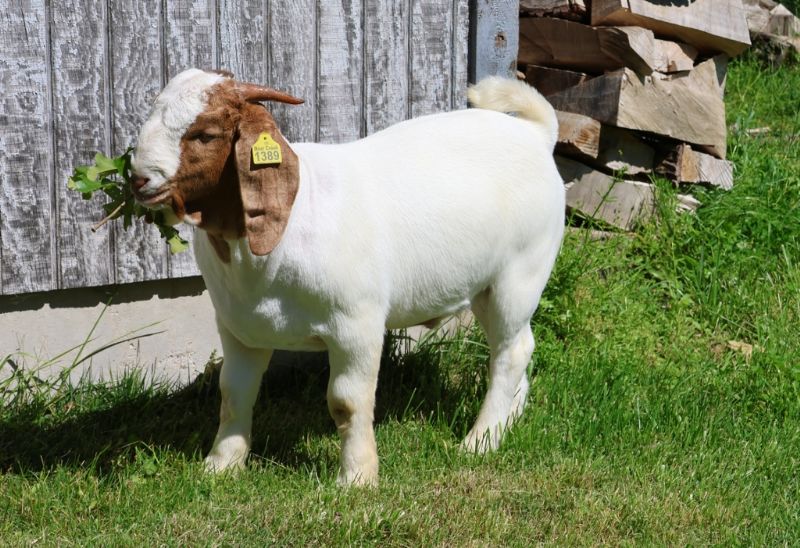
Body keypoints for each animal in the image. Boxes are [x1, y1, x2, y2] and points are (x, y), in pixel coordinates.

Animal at [131, 69, 565, 485]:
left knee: (510, 352)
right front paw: (221, 465)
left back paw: (480, 440)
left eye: (205, 134)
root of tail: (536, 134)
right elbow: (234, 393)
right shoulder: (239, 328)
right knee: (518, 345)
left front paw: (357, 476)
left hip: (520, 274)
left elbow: (347, 401)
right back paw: (509, 418)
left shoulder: (357, 325)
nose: (138, 179)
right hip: (486, 288)